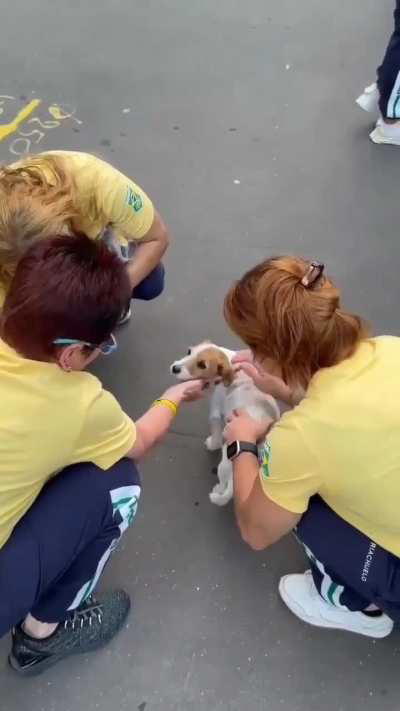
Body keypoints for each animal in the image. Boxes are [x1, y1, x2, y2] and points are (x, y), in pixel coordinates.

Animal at [170, 344, 280, 506]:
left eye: (202, 365)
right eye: (189, 351)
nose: (175, 368)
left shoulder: (215, 412)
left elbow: (215, 432)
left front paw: (212, 443)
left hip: (224, 465)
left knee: (224, 485)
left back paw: (218, 490)